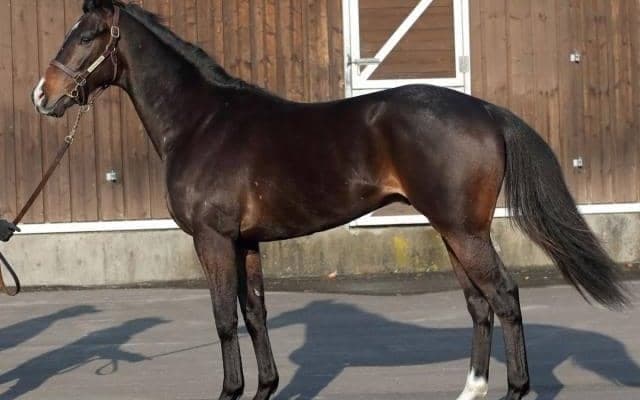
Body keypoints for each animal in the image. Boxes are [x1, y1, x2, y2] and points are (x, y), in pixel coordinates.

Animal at [32, 1, 628, 399]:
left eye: (88, 35)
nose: (43, 96)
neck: (202, 122)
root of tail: (484, 110)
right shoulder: (246, 242)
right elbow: (255, 314)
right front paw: (266, 387)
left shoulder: (213, 240)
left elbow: (223, 318)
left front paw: (230, 391)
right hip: (453, 231)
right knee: (479, 305)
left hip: (464, 231)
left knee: (503, 297)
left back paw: (514, 388)